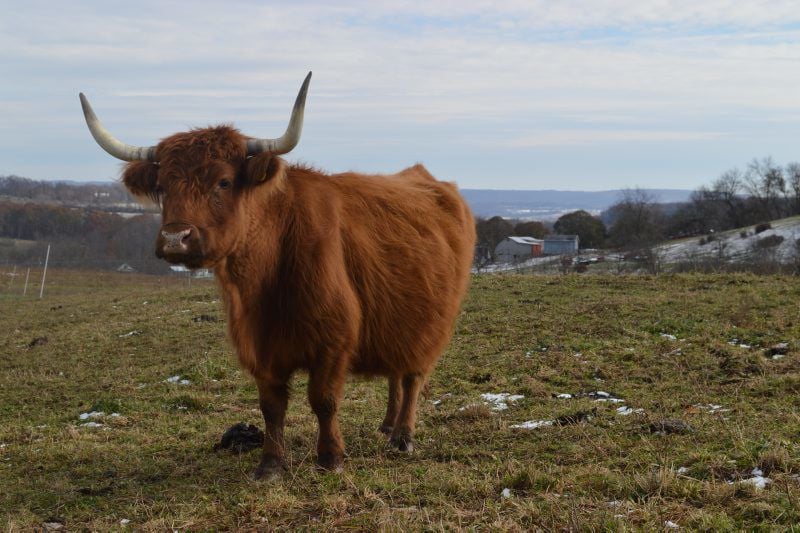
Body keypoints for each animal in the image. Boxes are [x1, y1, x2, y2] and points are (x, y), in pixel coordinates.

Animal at [83, 72, 476, 476]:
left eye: (224, 181)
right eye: (162, 187)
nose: (176, 239)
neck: (264, 285)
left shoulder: (333, 339)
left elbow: (323, 400)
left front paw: (331, 458)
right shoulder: (258, 346)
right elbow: (271, 407)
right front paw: (271, 463)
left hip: (431, 325)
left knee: (413, 376)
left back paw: (402, 437)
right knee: (397, 372)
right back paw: (386, 425)